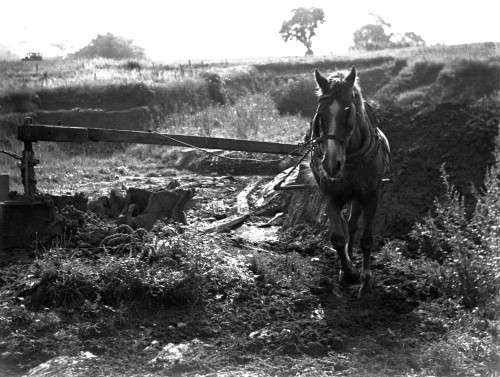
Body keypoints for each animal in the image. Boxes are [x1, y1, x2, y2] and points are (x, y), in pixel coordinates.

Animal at [306, 66, 392, 298]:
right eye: (321, 114)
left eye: (348, 112)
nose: (331, 164)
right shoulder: (331, 195)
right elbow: (338, 237)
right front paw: (349, 272)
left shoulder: (371, 196)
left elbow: (366, 240)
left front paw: (365, 280)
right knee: (349, 226)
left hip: (358, 197)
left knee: (353, 225)